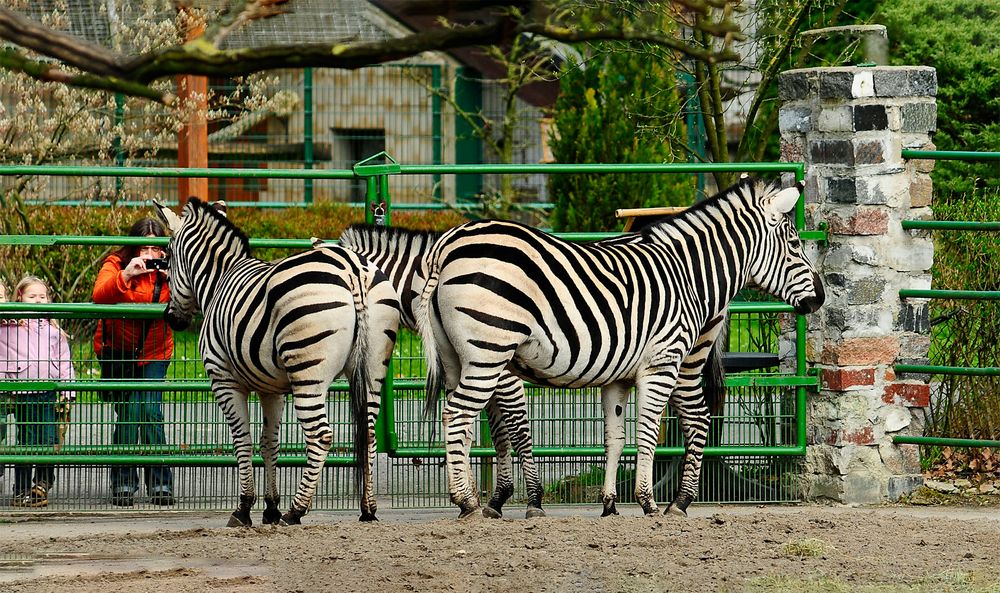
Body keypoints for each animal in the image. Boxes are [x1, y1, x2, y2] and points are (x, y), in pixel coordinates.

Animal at [152, 200, 398, 528]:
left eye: (166, 259)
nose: (171, 319)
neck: (218, 282)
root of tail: (353, 269)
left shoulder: (224, 379)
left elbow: (242, 440)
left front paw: (244, 508)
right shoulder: (272, 389)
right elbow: (269, 442)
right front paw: (270, 508)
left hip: (308, 373)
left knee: (321, 435)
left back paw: (296, 510)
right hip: (373, 366)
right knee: (368, 432)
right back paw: (367, 509)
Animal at [416, 177, 828, 520]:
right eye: (795, 244)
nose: (821, 298)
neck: (688, 274)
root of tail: (446, 247)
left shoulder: (618, 377)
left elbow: (614, 438)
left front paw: (610, 504)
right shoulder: (662, 364)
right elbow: (647, 432)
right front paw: (648, 502)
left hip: (457, 359)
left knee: (460, 420)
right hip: (489, 352)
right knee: (456, 415)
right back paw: (467, 502)